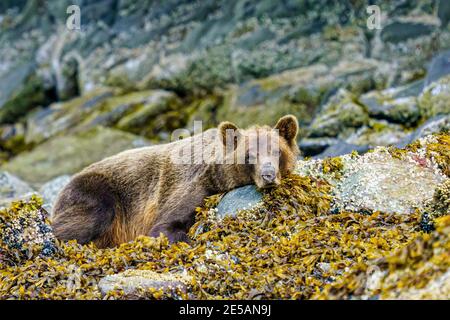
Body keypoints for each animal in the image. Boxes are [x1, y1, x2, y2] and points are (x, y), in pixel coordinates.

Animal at [51, 115, 298, 248]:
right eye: (249, 155)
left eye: (277, 151)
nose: (268, 175)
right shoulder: (190, 186)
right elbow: (165, 226)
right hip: (95, 192)